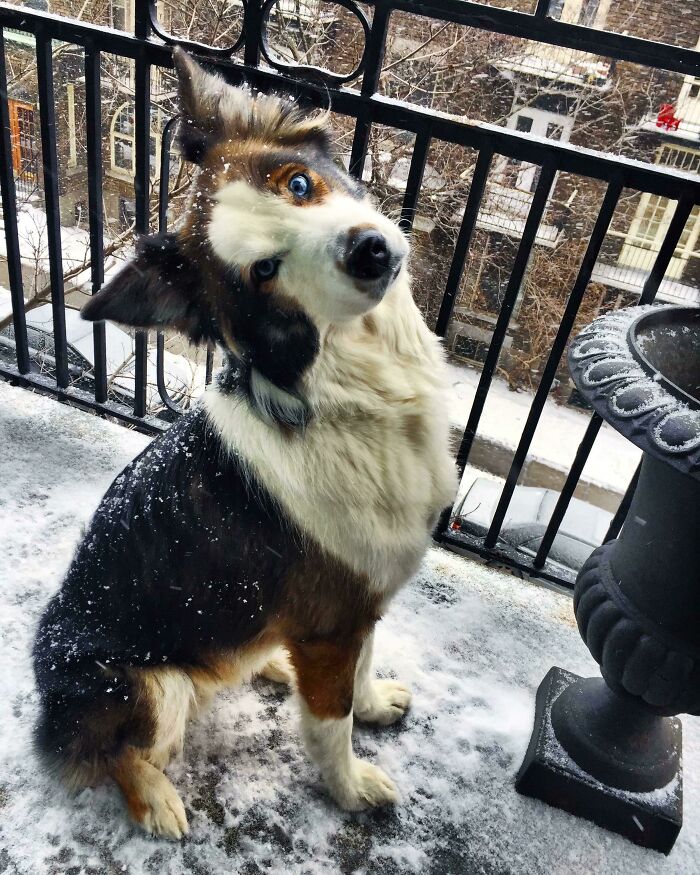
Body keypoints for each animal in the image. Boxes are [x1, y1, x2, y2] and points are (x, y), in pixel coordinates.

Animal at [32, 49, 456, 840]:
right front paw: (349, 786)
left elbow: (359, 672)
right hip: (145, 684)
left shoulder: (358, 605)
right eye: (264, 272)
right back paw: (156, 799)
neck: (335, 388)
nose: (370, 251)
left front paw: (372, 701)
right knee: (115, 753)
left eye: (299, 183)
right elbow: (329, 721)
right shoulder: (331, 621)